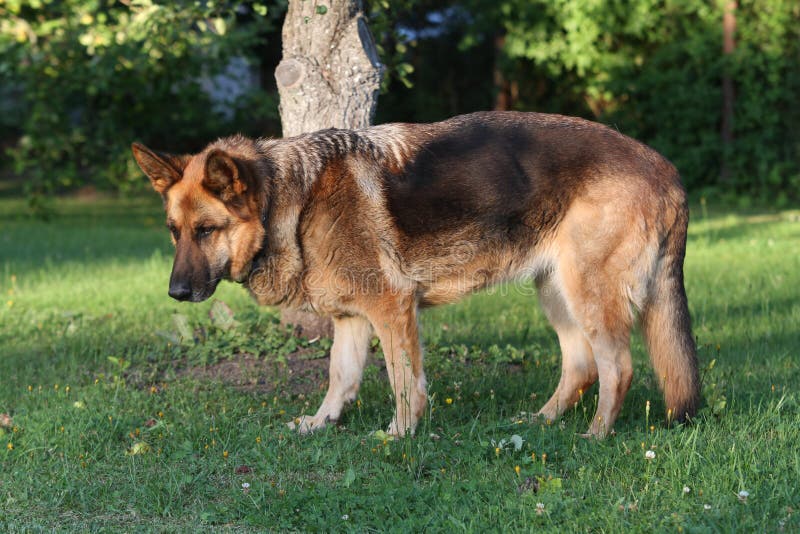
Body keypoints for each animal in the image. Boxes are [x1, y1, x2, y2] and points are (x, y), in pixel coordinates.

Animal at [134, 111, 696, 438]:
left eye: (207, 230)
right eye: (174, 232)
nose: (175, 293)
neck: (287, 199)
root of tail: (667, 169)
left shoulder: (392, 309)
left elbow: (404, 381)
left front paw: (400, 435)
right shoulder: (352, 320)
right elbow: (341, 375)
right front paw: (323, 422)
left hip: (588, 293)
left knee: (618, 367)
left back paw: (596, 435)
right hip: (556, 293)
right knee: (580, 366)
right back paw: (541, 423)